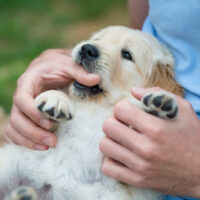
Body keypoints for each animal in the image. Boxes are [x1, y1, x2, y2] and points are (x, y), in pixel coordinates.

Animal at [1, 26, 183, 200]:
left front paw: (157, 105)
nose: (87, 49)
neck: (96, 107)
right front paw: (55, 99)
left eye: (127, 54)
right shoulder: (45, 137)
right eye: (97, 39)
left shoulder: (129, 175)